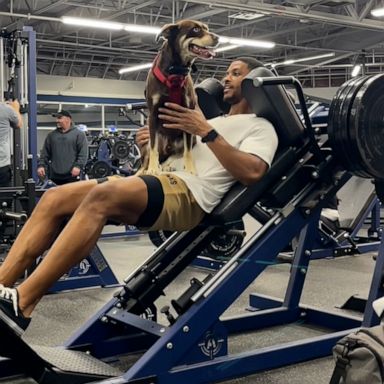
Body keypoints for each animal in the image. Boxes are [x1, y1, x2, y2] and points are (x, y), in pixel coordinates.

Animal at [140, 18, 219, 174]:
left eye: (207, 28)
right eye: (195, 29)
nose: (218, 38)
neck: (176, 71)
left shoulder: (187, 115)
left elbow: (187, 152)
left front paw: (190, 169)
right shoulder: (152, 115)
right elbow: (153, 149)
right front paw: (153, 169)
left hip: (191, 139)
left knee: (175, 154)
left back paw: (166, 166)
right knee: (146, 160)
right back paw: (148, 169)